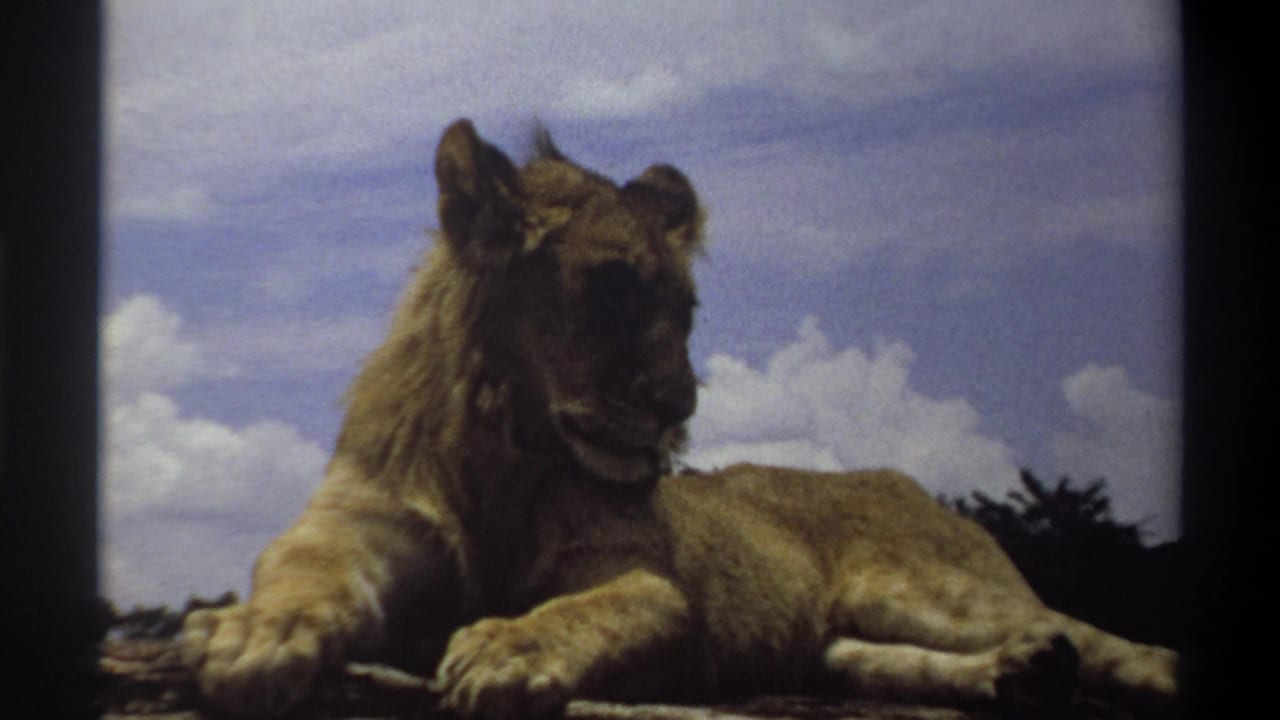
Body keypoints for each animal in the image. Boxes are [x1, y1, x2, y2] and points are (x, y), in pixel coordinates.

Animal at [181, 119, 1178, 718]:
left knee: (1104, 640)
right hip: (837, 641)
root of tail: (905, 480)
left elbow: (592, 609)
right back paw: (1020, 673)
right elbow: (299, 573)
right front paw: (250, 633)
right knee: (887, 658)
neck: (505, 447)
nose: (678, 405)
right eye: (613, 292)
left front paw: (506, 647)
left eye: (686, 311)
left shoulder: (645, 578)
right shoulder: (356, 525)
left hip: (931, 588)